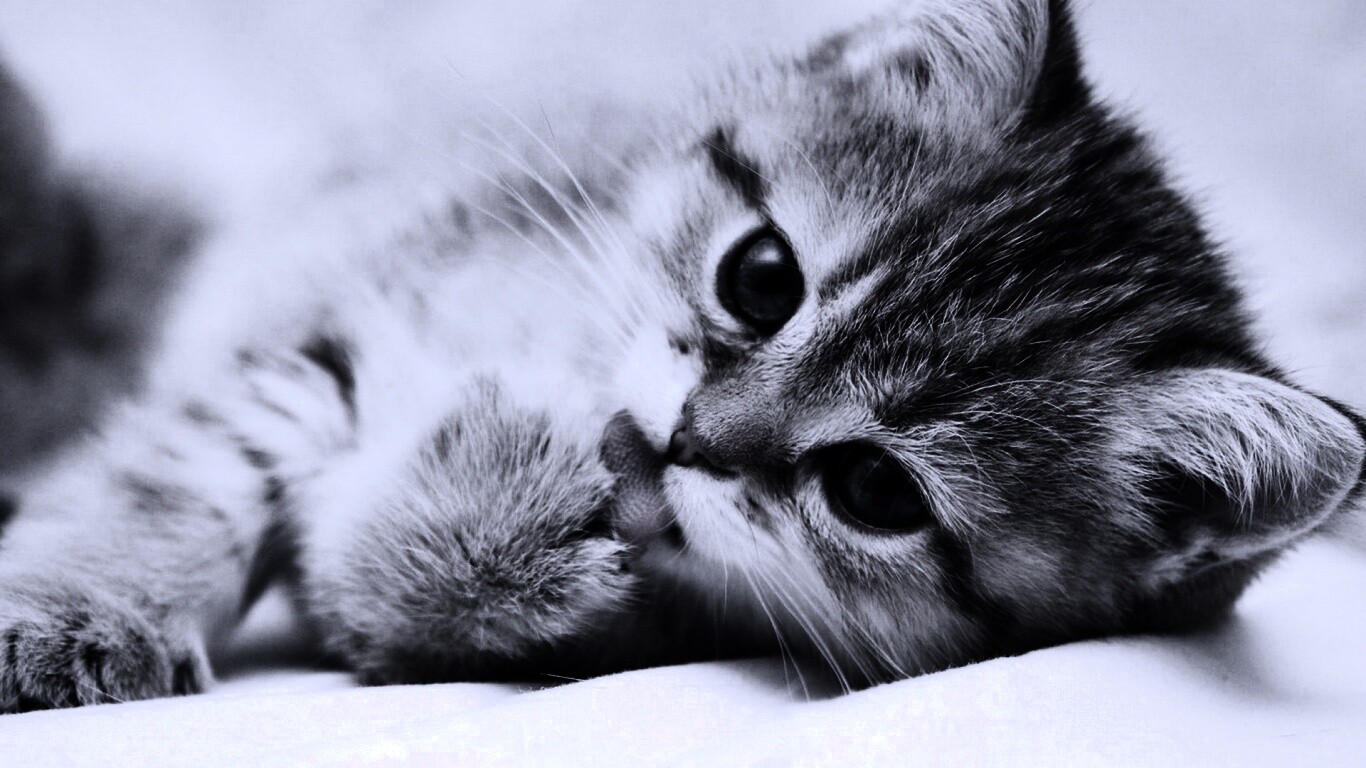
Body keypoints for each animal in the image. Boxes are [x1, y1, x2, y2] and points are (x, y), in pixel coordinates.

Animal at [0, 0, 1363, 711]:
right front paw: (82, 611)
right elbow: (183, 482)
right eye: (761, 279)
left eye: (875, 491)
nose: (683, 439)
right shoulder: (325, 324)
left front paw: (505, 503)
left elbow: (386, 595)